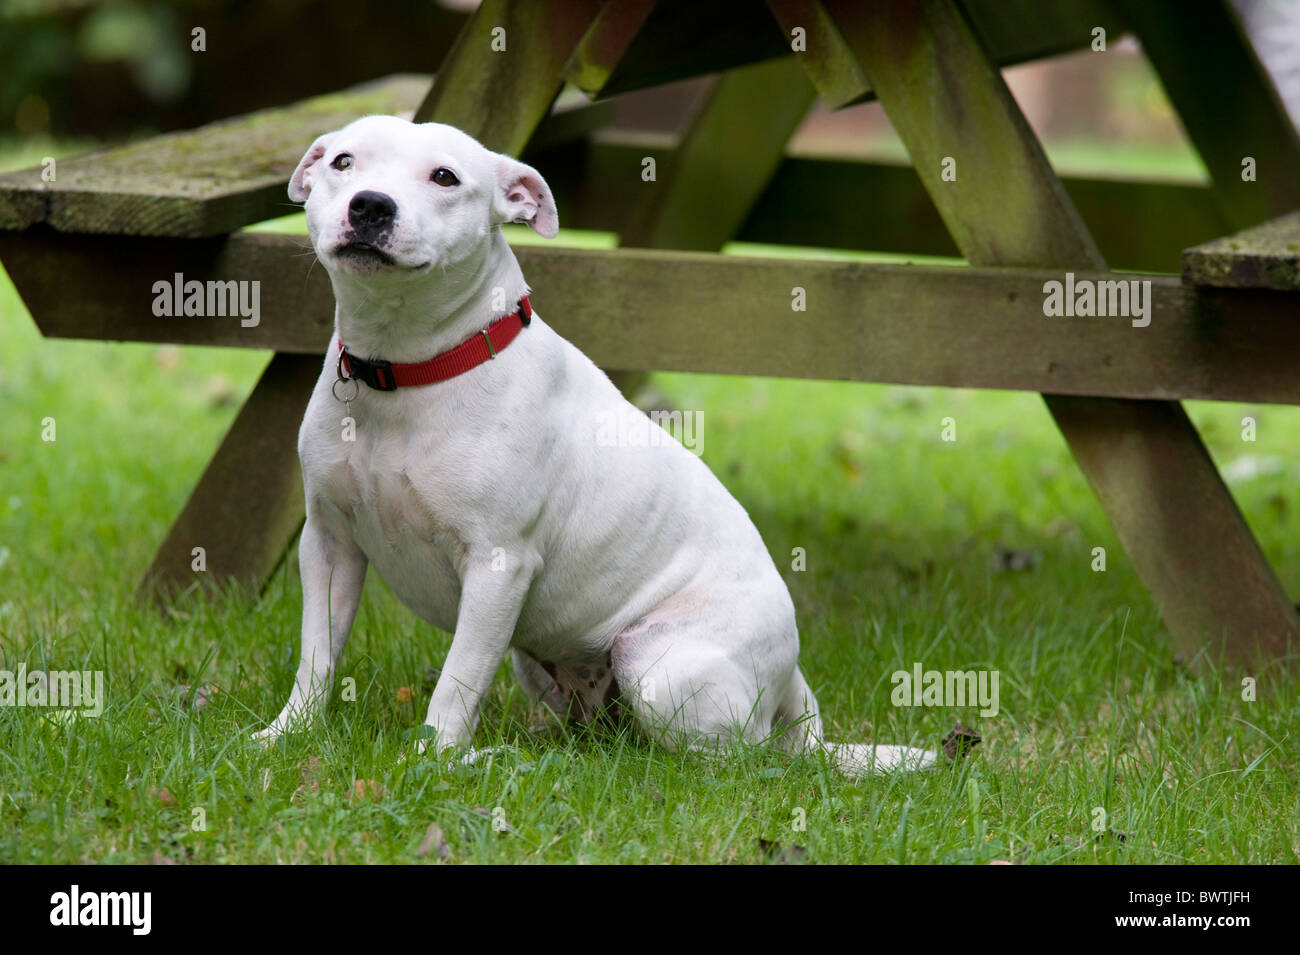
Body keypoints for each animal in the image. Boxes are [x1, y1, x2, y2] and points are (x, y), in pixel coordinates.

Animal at [258, 117, 941, 779]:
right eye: (343, 162)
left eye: (445, 177)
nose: (371, 205)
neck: (404, 370)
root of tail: (794, 676)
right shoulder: (329, 543)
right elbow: (317, 655)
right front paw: (288, 734)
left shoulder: (497, 566)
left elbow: (458, 679)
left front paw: (434, 760)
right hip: (543, 664)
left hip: (656, 662)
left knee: (742, 759)